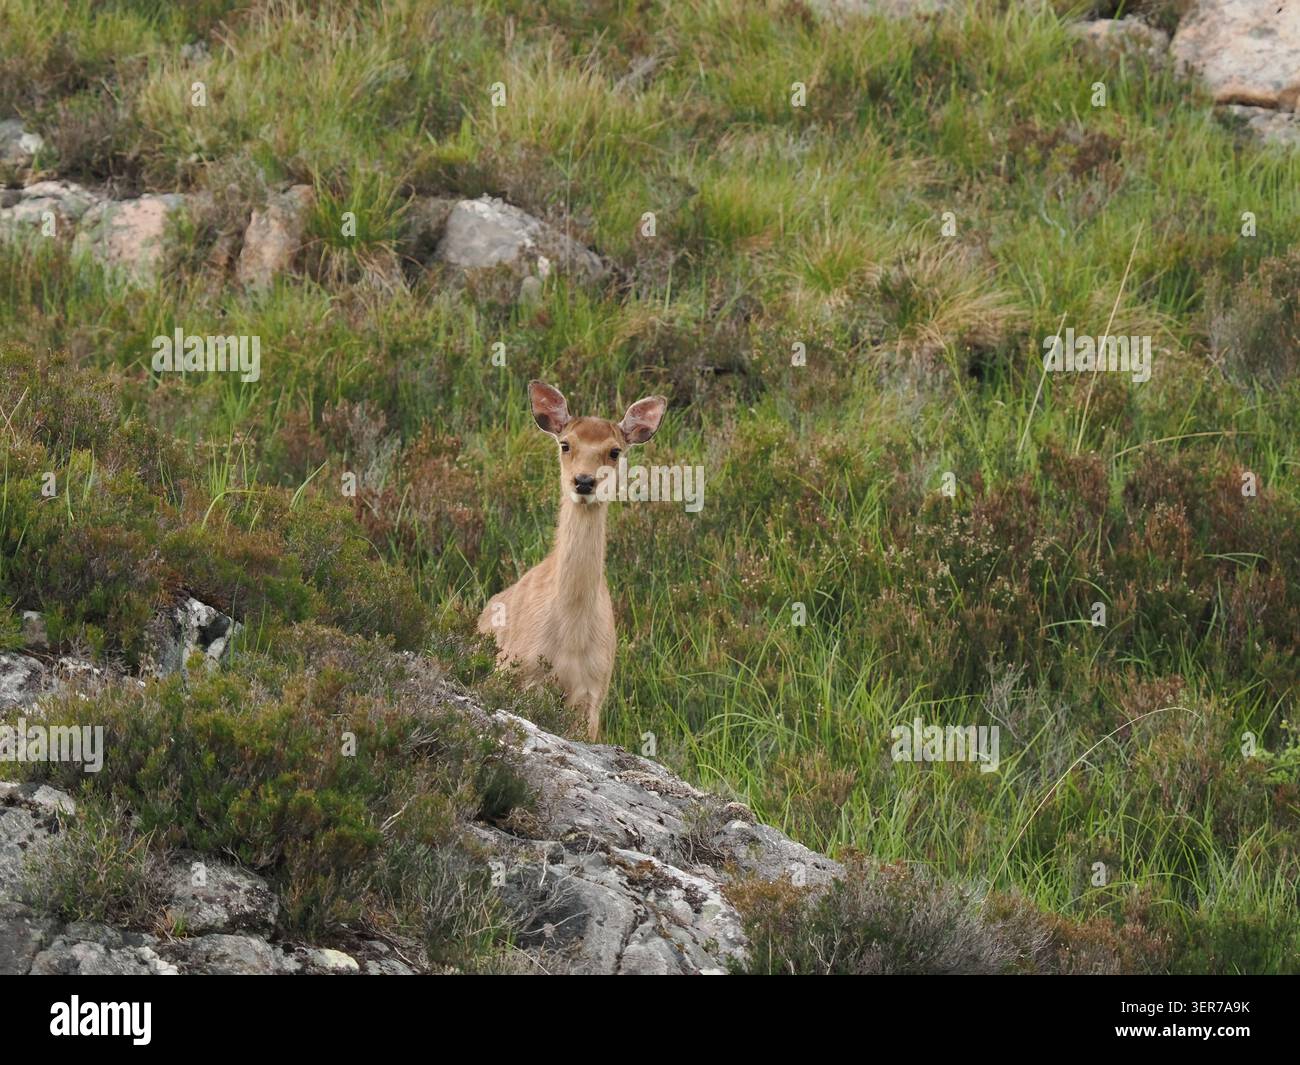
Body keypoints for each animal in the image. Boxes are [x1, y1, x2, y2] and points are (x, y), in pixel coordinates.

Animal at [477, 380, 668, 740]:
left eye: (615, 451)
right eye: (566, 444)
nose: (584, 481)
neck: (570, 633)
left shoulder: (593, 691)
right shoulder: (519, 669)